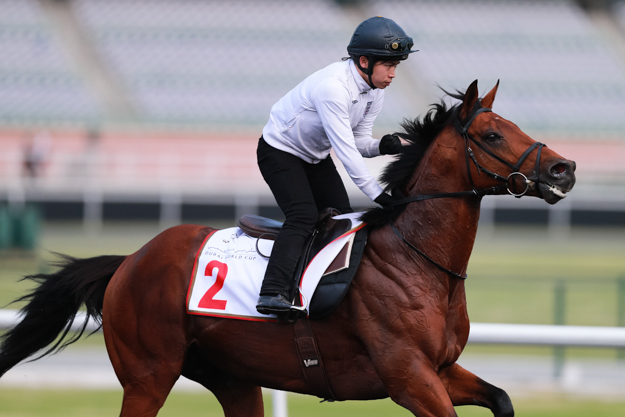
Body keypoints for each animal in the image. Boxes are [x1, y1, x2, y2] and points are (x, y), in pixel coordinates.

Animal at [0, 79, 576, 414]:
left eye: (512, 125)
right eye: (492, 135)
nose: (563, 168)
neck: (418, 260)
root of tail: (129, 261)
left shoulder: (441, 370)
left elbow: (502, 399)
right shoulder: (409, 377)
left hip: (233, 379)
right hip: (148, 375)